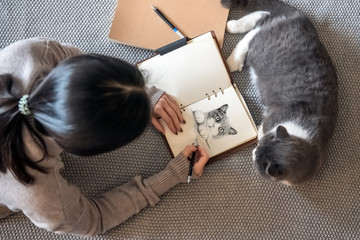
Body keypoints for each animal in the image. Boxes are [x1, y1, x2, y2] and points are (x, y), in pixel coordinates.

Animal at [222, 0, 338, 186]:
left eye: (259, 159)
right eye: (260, 144)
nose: (254, 151)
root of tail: (300, 19)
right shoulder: (269, 121)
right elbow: (262, 128)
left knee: (264, 18)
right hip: (261, 44)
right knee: (255, 29)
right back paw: (234, 51)